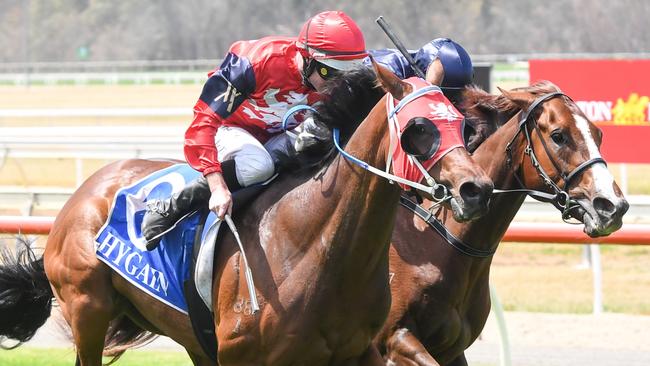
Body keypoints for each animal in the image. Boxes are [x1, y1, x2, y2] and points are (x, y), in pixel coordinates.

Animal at [0, 64, 492, 364]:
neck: (317, 246)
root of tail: (81, 195)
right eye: (418, 128)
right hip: (88, 308)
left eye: (461, 122)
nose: (477, 189)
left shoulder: (362, 350)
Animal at [374, 81, 628, 364]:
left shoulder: (452, 349)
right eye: (558, 136)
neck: (437, 240)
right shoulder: (394, 339)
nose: (613, 206)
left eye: (598, 134)